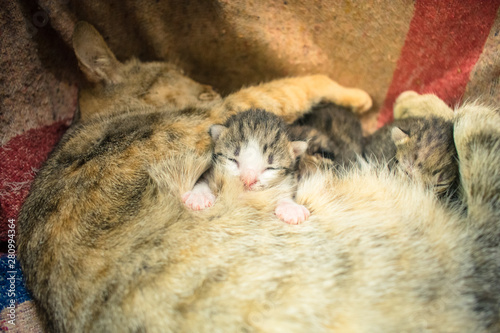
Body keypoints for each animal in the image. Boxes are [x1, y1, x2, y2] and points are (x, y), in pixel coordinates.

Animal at [17, 22, 498, 330]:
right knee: (476, 132)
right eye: (181, 77)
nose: (209, 86)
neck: (100, 118)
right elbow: (295, 84)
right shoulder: (218, 115)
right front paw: (361, 96)